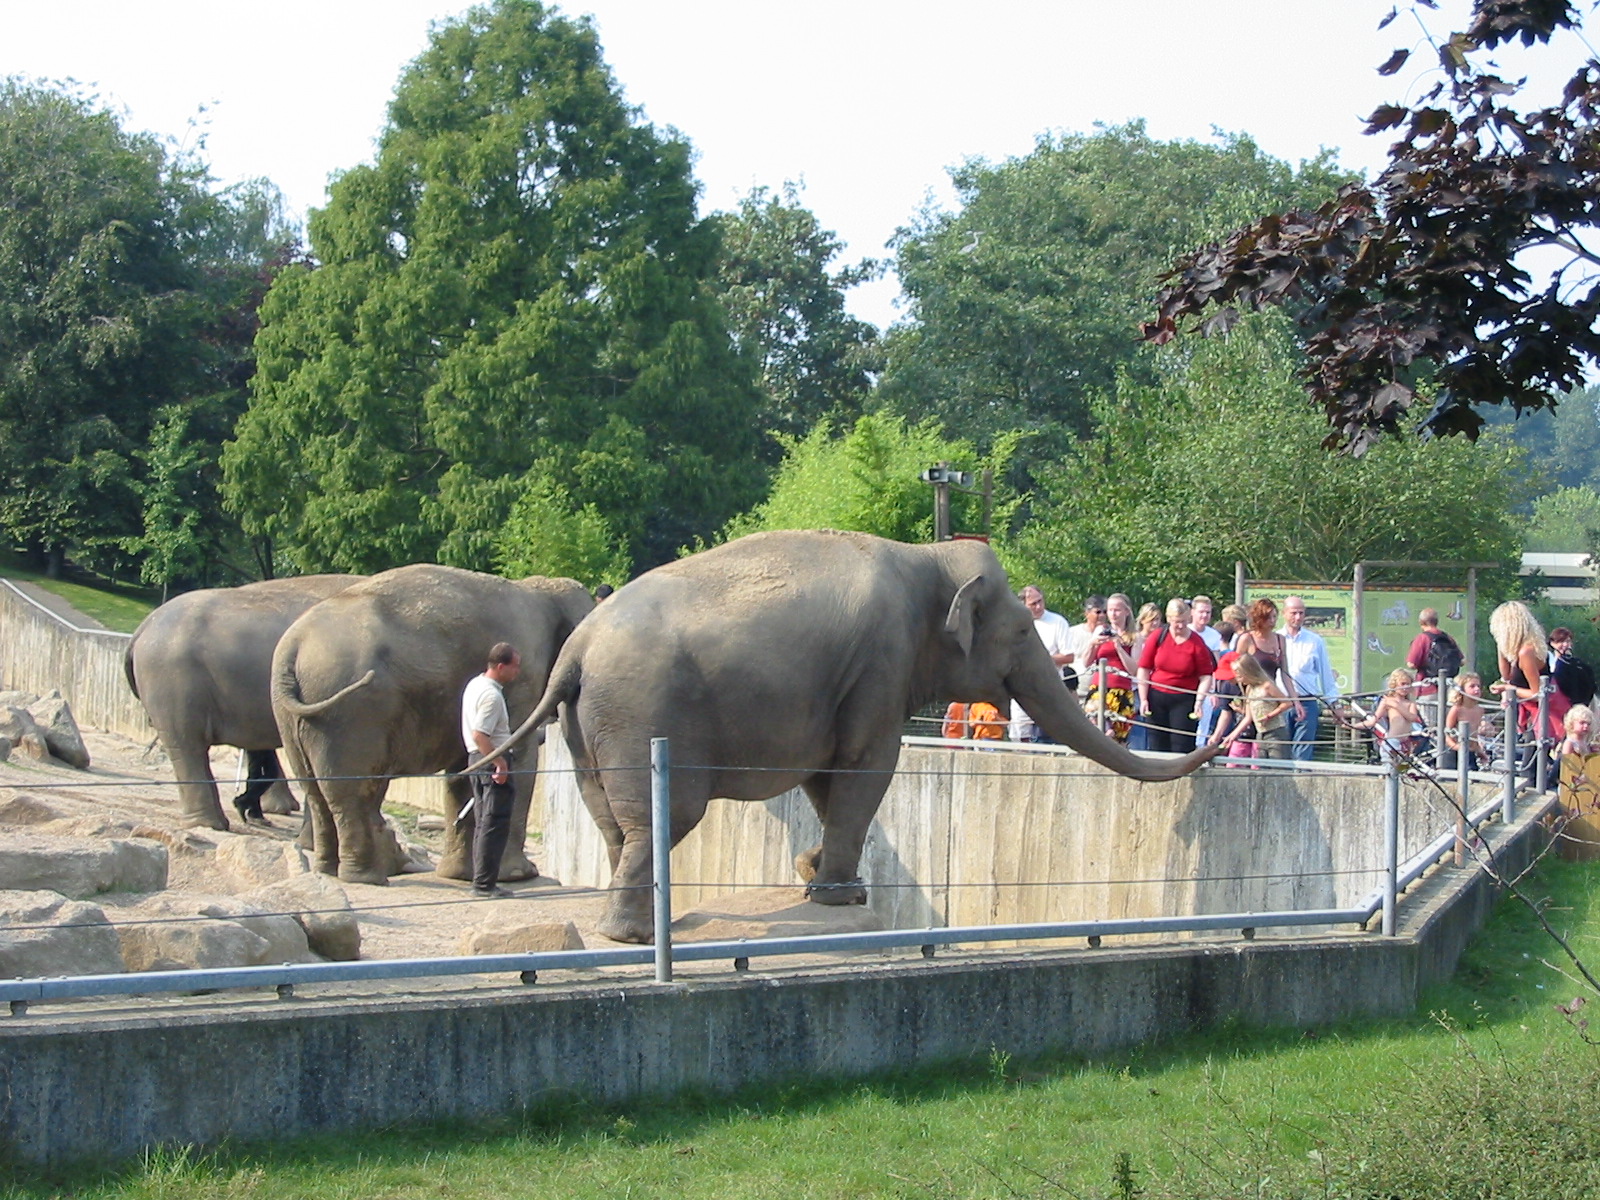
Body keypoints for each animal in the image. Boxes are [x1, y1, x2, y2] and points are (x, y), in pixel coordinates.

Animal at [271, 564, 594, 885]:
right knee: (354, 791)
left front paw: (458, 875)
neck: (542, 589)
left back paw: (330, 870)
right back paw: (367, 877)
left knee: (316, 791)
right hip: (349, 713)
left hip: (294, 716)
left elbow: (462, 772)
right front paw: (520, 875)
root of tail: (292, 649)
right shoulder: (521, 678)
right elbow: (514, 757)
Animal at [484, 530, 1221, 943]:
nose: (1218, 744)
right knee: (663, 817)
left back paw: (641, 924)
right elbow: (867, 766)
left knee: (612, 819)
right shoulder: (880, 660)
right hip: (644, 710)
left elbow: (827, 774)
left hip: (590, 722)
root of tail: (577, 648)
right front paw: (839, 894)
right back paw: (636, 938)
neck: (926, 558)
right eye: (1019, 631)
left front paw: (817, 876)